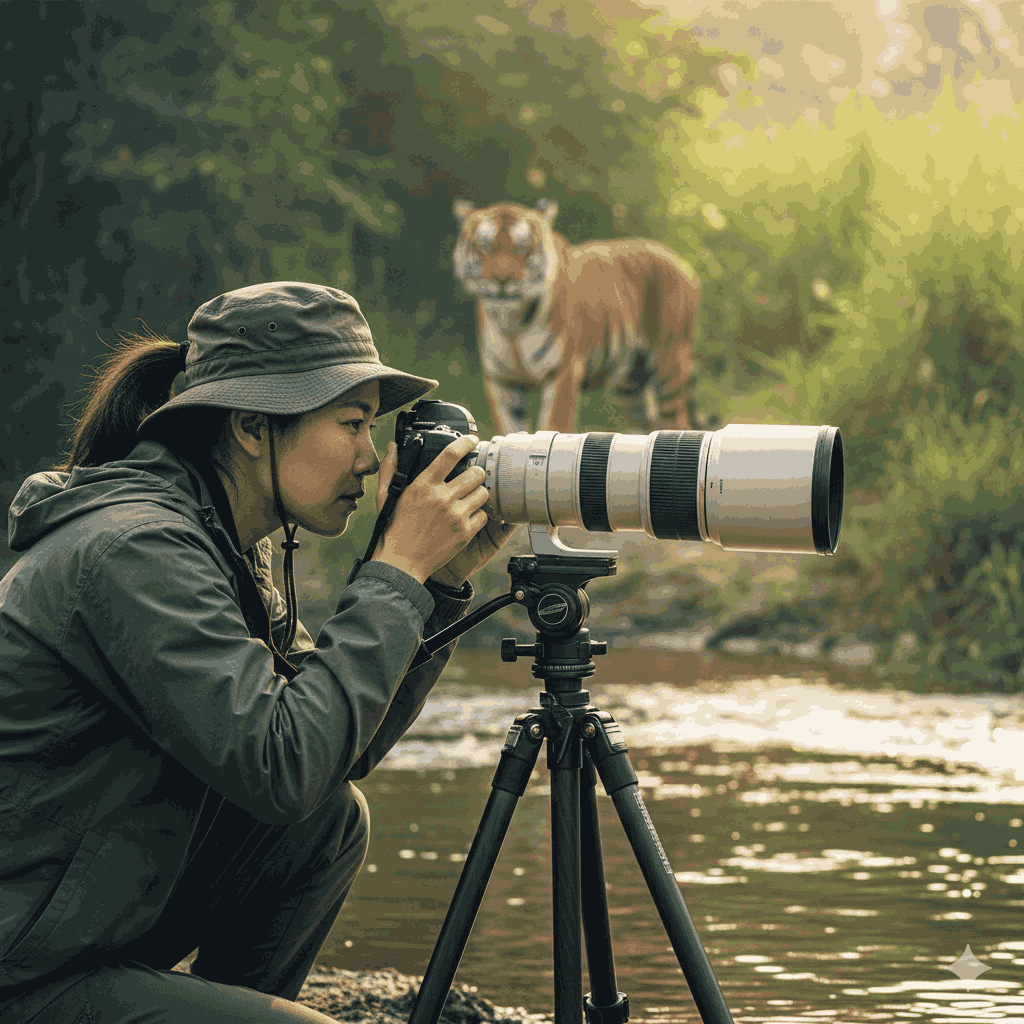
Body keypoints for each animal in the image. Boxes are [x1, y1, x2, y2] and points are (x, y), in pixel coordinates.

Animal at [452, 197, 701, 436]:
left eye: (523, 248)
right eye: (486, 246)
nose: (502, 279)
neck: (510, 321)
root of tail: (683, 263)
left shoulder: (563, 373)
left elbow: (553, 426)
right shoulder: (502, 383)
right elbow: (508, 431)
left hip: (669, 367)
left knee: (677, 422)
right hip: (631, 382)